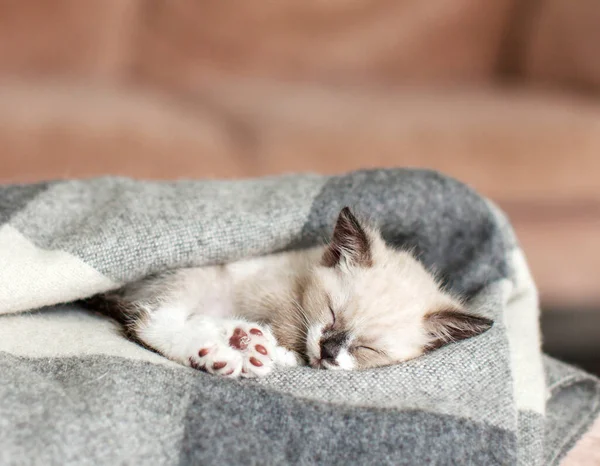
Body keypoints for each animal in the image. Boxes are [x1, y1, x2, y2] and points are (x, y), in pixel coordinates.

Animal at [91, 208, 490, 378]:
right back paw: (227, 352)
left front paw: (272, 349)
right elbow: (286, 326)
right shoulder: (272, 294)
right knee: (151, 322)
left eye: (368, 349)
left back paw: (245, 341)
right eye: (332, 313)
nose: (328, 351)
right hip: (192, 275)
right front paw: (285, 353)